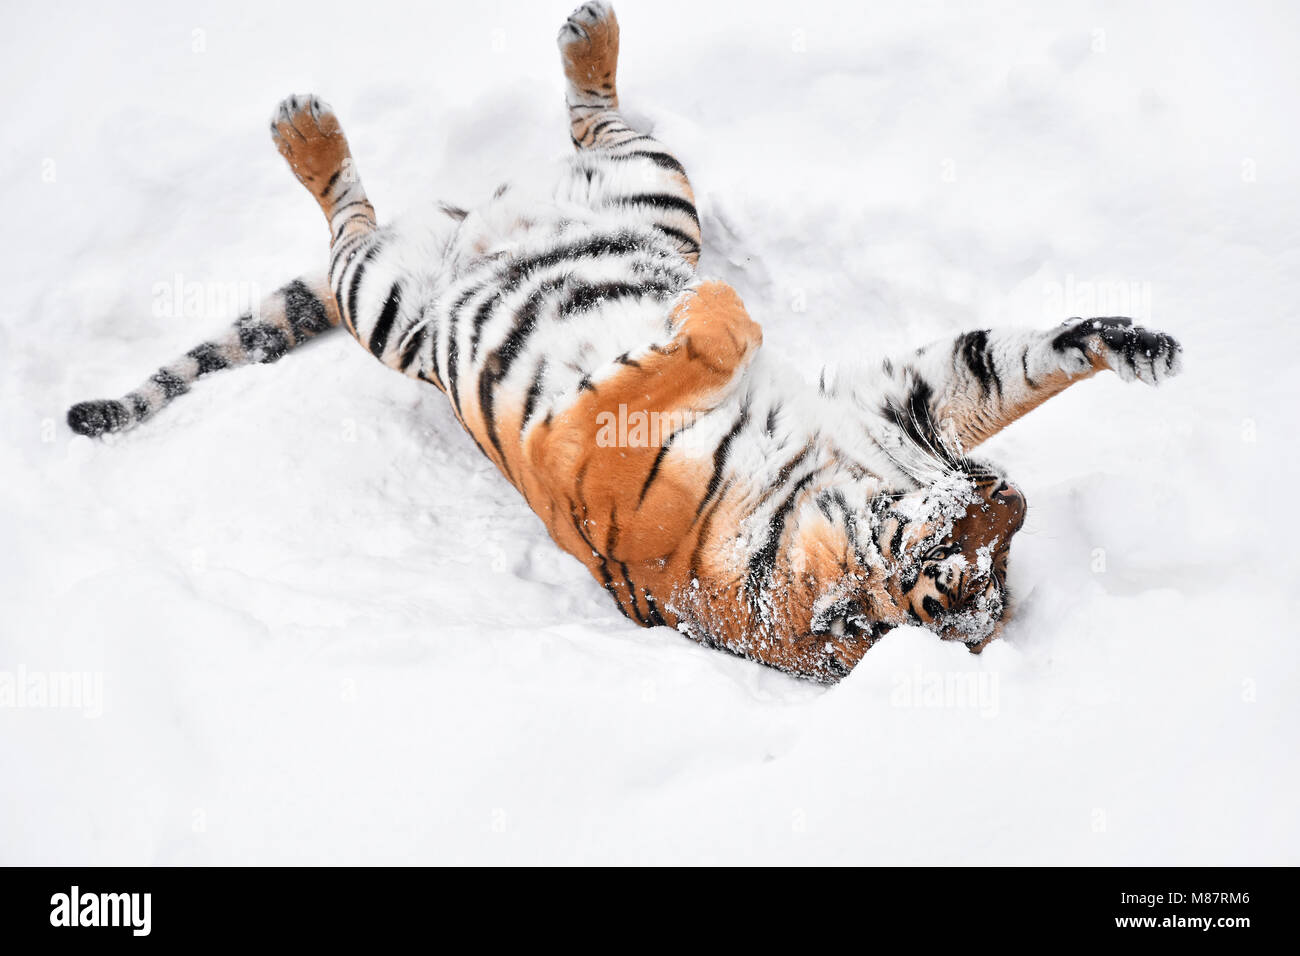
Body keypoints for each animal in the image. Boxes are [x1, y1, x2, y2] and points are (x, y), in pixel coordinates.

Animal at [65, 3, 1185, 686]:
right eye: (965, 567)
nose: (1009, 496)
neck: (826, 503)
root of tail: (465, 228)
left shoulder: (592, 423)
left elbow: (726, 337)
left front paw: (724, 313)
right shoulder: (891, 404)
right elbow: (1010, 362)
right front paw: (1137, 343)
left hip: (409, 299)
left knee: (357, 220)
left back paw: (312, 122)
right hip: (635, 189)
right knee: (567, 126)